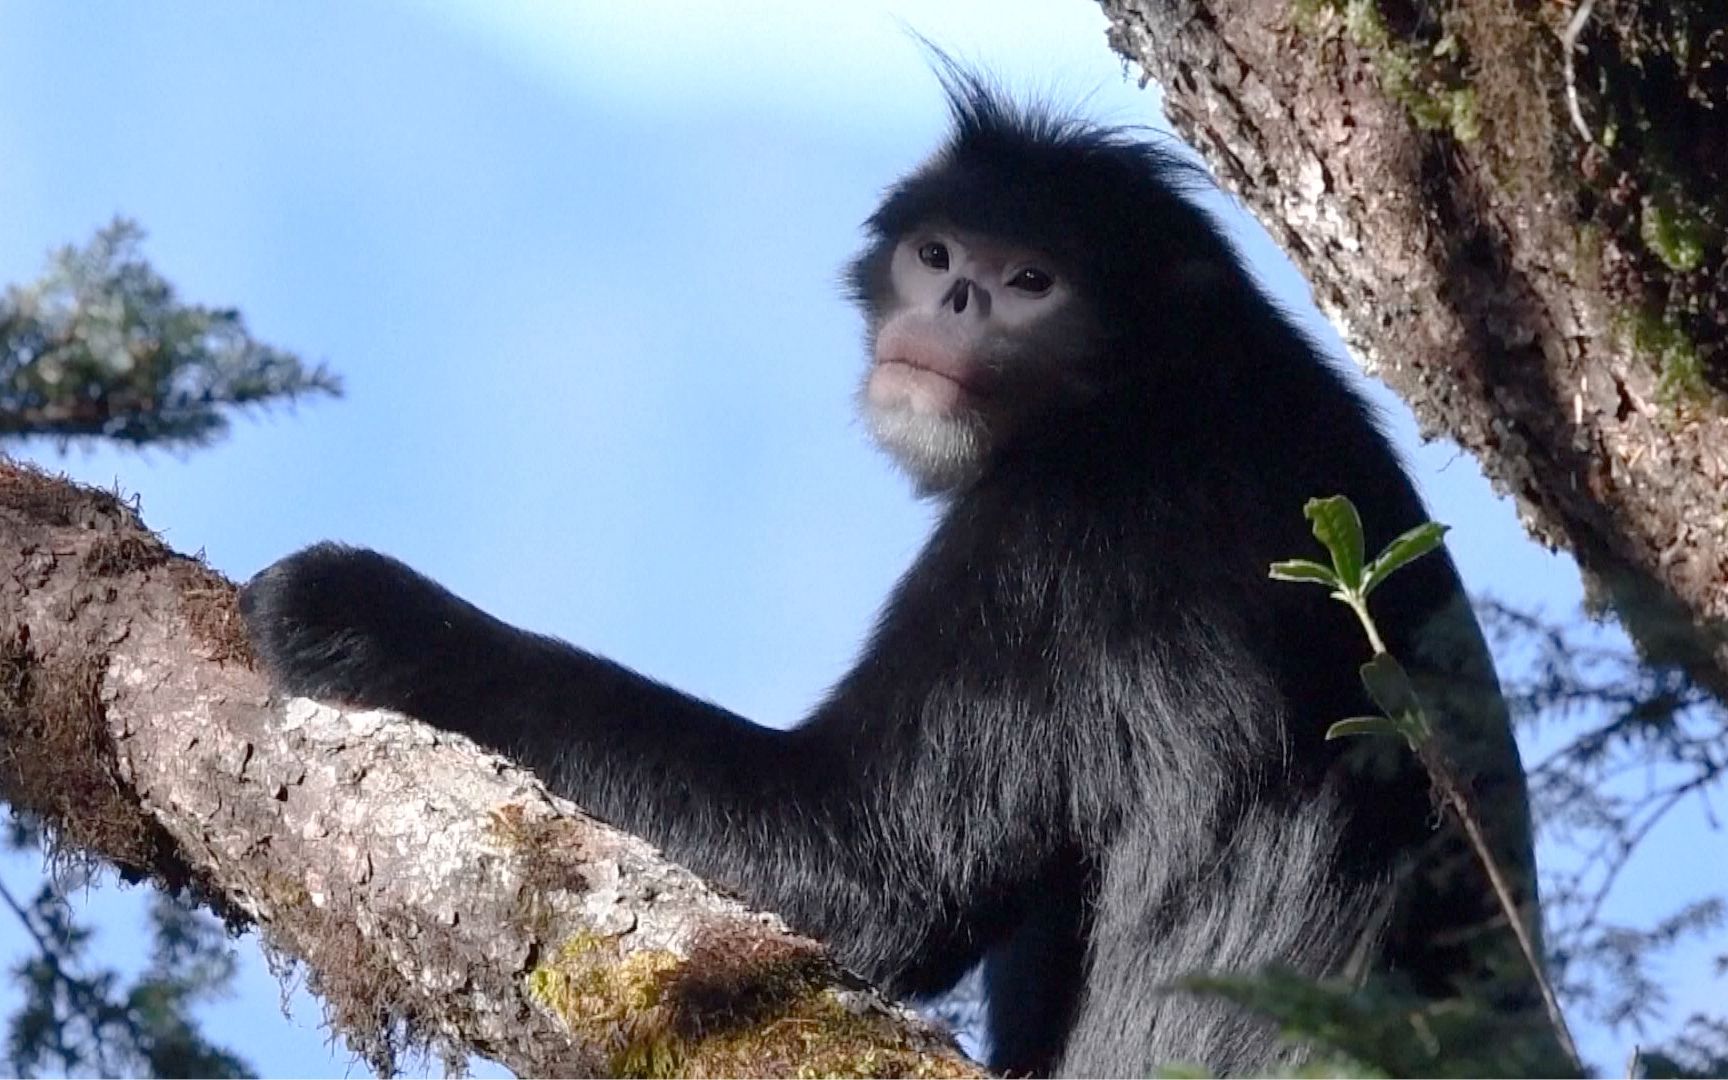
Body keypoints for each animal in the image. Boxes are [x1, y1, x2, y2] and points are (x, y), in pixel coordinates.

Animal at [240, 71, 1541, 1071]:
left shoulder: (1058, 542)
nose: (957, 298)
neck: (1167, 385)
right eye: (938, 254)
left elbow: (868, 877)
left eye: (1032, 282)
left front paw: (367, 615)